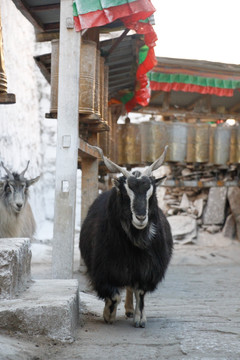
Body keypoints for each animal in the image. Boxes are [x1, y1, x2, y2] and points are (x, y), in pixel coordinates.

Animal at [80, 145, 172, 328]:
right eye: (125, 192)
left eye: (151, 193)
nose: (141, 217)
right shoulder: (104, 269)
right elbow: (114, 295)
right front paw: (108, 315)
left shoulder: (146, 268)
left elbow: (140, 292)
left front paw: (140, 319)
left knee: (131, 287)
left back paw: (130, 310)